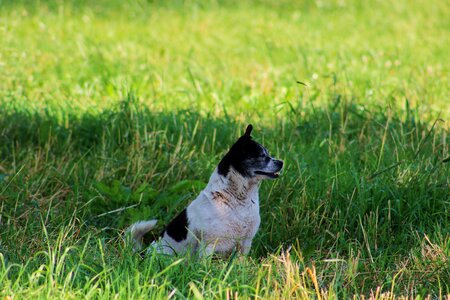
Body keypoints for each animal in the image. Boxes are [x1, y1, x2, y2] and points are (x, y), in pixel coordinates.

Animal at [126, 123, 284, 255]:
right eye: (261, 156)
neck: (235, 199)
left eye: (268, 154)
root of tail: (143, 254)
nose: (281, 162)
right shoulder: (209, 246)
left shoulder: (245, 243)